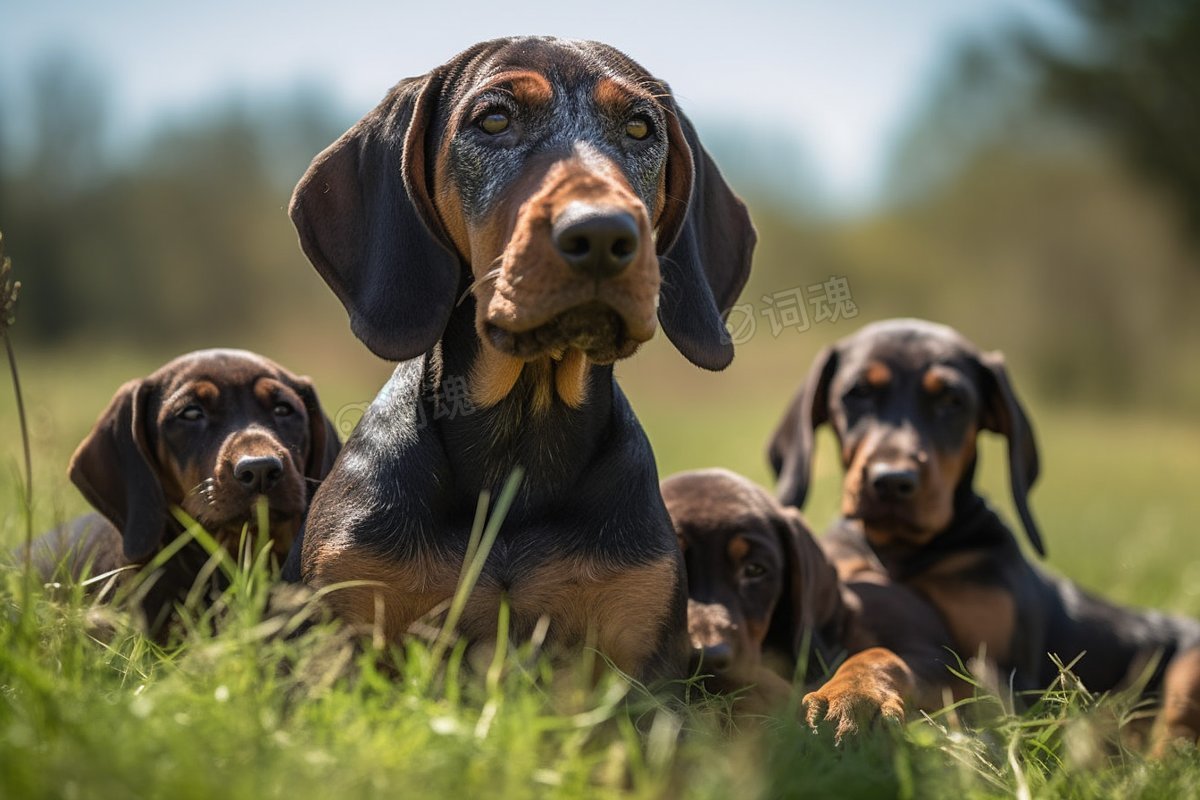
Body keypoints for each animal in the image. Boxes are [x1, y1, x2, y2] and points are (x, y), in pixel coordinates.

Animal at [282, 32, 753, 681]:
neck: (520, 433)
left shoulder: (642, 649)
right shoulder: (343, 624)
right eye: (494, 120)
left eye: (639, 128)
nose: (603, 235)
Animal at [768, 316, 1200, 753]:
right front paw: (844, 696)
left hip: (1189, 665)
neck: (904, 554)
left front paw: (855, 698)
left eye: (952, 400)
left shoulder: (1005, 681)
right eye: (857, 393)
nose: (891, 481)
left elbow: (887, 653)